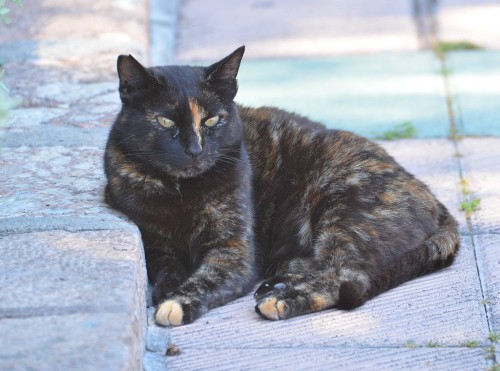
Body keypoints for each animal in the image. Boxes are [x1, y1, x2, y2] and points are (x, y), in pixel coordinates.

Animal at [103, 45, 458, 326]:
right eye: (165, 122)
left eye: (212, 120)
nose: (195, 149)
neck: (181, 192)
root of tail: (432, 196)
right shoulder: (153, 242)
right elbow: (165, 268)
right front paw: (168, 288)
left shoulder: (234, 252)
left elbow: (208, 277)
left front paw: (178, 302)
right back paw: (277, 284)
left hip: (343, 211)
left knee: (347, 276)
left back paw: (281, 299)